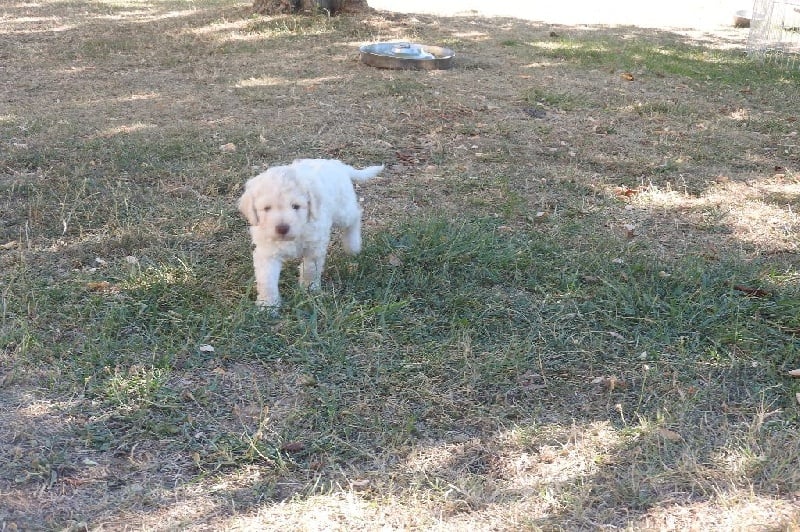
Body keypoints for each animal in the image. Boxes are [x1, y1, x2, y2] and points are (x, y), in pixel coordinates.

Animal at [238, 158, 384, 310]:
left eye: (295, 206)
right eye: (267, 208)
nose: (282, 228)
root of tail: (337, 164)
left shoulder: (314, 246)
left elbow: (310, 269)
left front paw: (309, 290)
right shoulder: (267, 253)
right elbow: (267, 281)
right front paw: (268, 305)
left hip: (342, 211)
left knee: (355, 216)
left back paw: (353, 246)